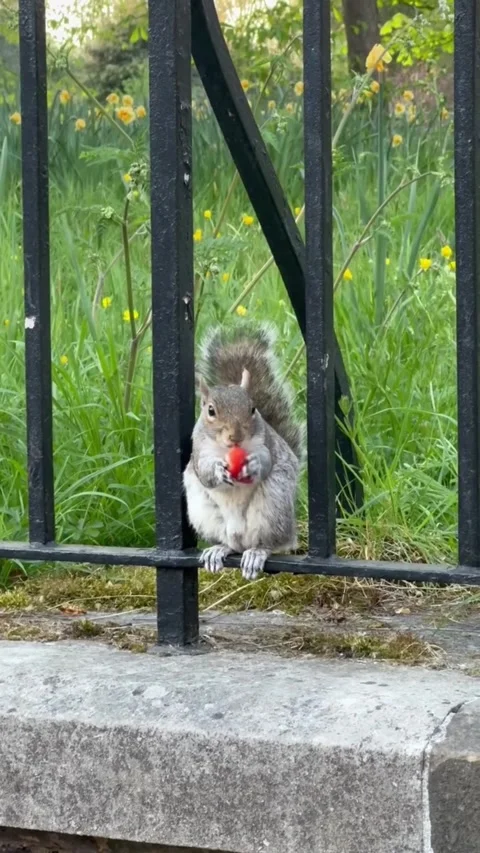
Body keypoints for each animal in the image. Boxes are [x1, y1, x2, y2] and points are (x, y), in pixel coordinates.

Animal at [183, 323, 304, 579]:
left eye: (252, 408)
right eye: (210, 411)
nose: (235, 436)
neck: (227, 449)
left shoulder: (266, 442)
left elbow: (267, 460)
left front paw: (255, 464)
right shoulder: (198, 449)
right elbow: (204, 473)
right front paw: (218, 471)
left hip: (272, 509)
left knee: (270, 543)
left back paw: (256, 554)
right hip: (206, 515)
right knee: (229, 544)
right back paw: (218, 550)